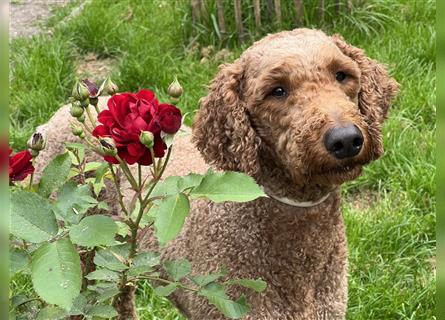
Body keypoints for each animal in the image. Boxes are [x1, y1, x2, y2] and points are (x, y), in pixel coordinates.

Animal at [33, 28, 398, 318]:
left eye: (342, 75)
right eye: (277, 90)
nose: (345, 139)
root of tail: (65, 112)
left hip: (121, 261)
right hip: (79, 261)